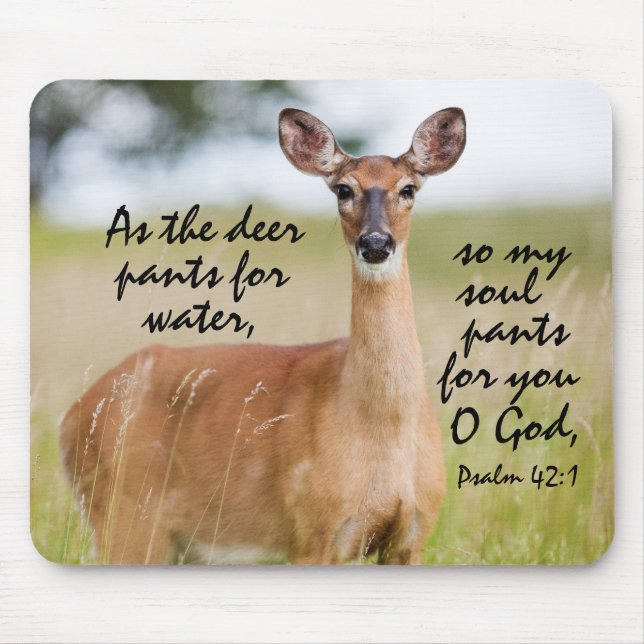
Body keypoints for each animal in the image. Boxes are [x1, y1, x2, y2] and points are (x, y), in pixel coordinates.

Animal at [60, 106, 466, 565]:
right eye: (343, 189)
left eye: (408, 188)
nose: (376, 243)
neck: (383, 429)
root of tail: (70, 416)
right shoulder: (313, 531)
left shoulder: (412, 535)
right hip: (124, 519)